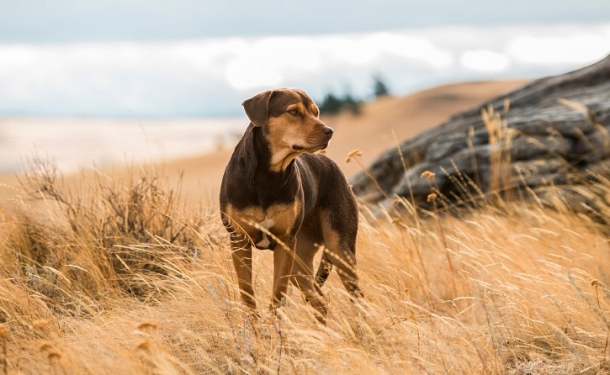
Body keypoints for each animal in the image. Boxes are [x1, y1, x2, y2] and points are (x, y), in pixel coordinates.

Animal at [218, 87, 360, 324]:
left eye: (316, 112)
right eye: (294, 112)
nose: (329, 131)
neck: (268, 175)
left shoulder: (285, 243)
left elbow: (277, 295)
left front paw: (275, 329)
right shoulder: (239, 240)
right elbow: (247, 294)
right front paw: (256, 329)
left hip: (338, 248)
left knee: (355, 298)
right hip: (300, 260)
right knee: (320, 300)